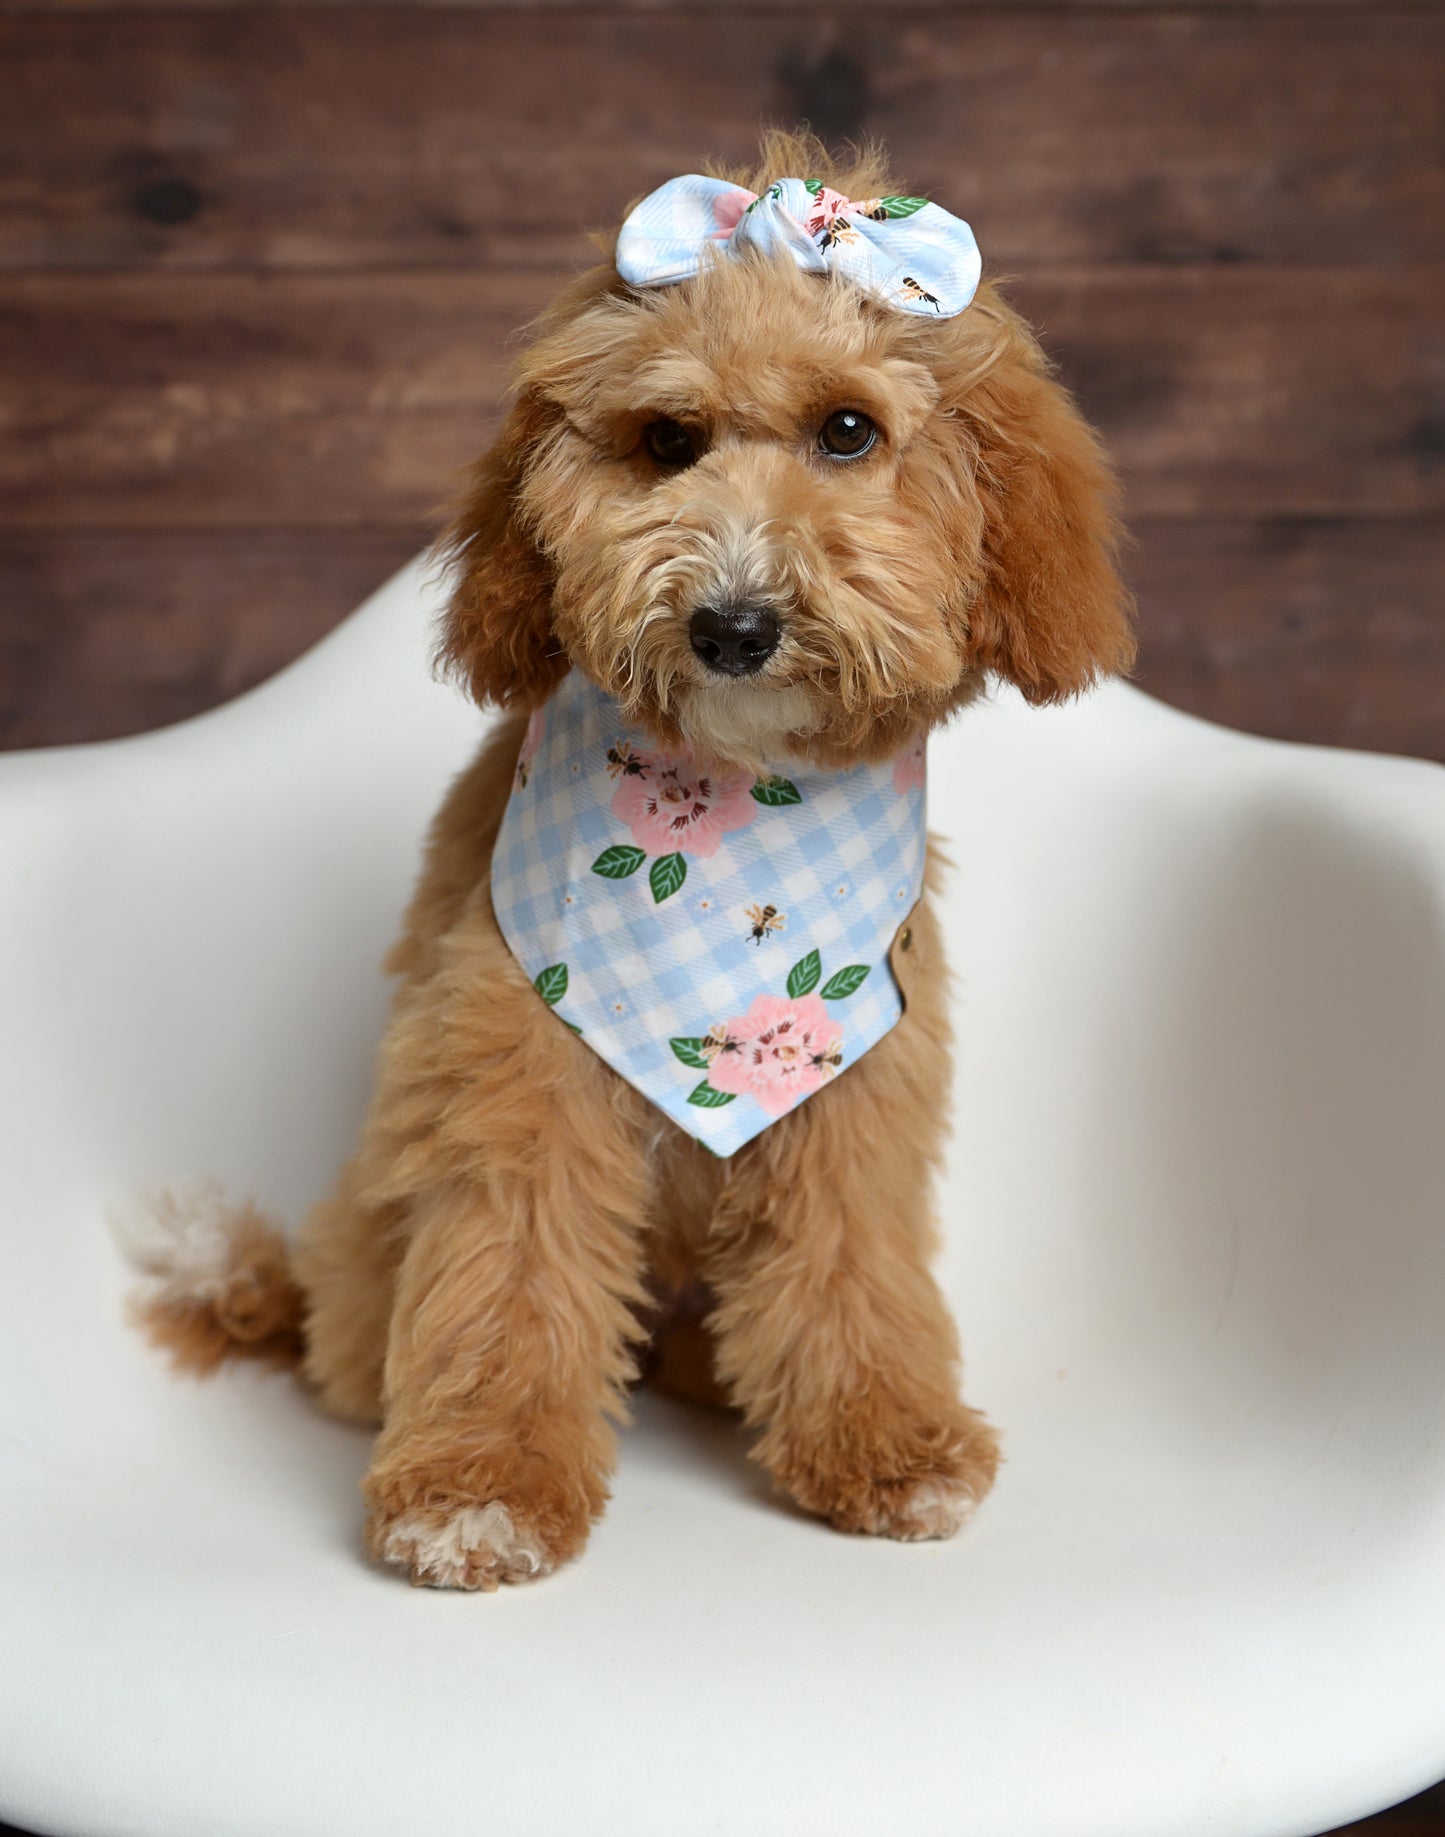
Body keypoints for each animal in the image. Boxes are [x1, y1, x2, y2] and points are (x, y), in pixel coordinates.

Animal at [130, 133, 1138, 1594]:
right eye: (670, 443)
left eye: (849, 432)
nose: (732, 624)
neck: (727, 821)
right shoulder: (516, 1073)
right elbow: (509, 1276)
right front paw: (479, 1493)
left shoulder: (858, 1086)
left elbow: (851, 1265)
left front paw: (887, 1444)